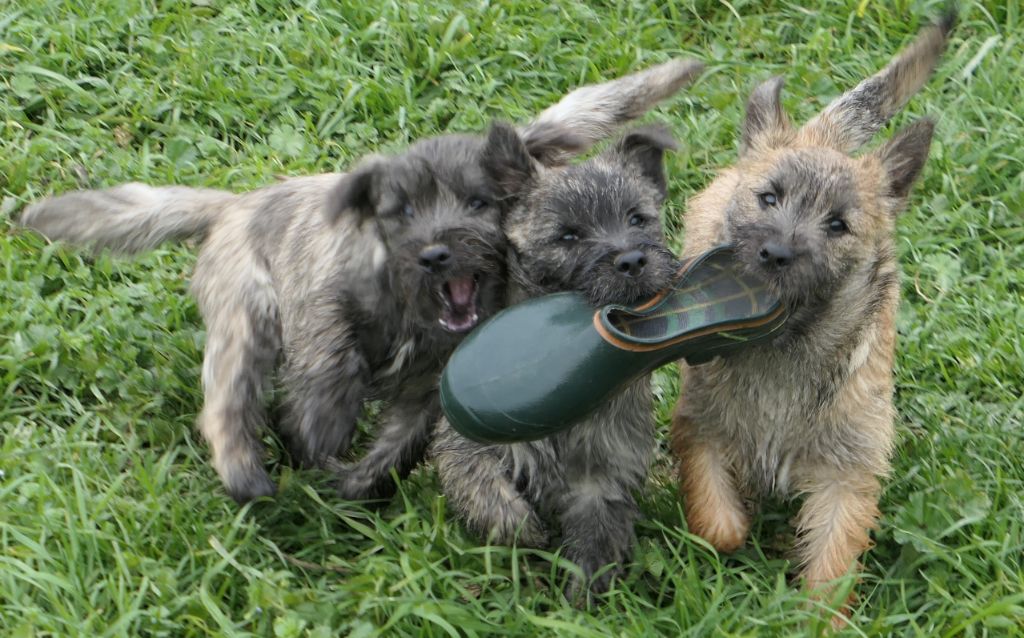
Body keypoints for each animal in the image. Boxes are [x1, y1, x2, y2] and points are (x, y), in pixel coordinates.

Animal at [19, 58, 703, 504]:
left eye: (479, 203)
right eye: (401, 211)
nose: (436, 255)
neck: (416, 316)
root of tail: (232, 205)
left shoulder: (432, 389)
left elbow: (397, 442)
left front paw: (354, 481)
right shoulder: (323, 300)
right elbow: (331, 359)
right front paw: (321, 431)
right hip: (245, 310)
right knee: (228, 396)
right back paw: (246, 473)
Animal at [431, 120, 685, 599]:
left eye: (637, 218)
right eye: (568, 236)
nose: (632, 259)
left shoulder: (601, 478)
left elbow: (596, 538)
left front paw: (580, 596)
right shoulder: (464, 440)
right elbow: (480, 485)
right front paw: (520, 527)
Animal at [668, 14, 953, 623]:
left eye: (838, 225)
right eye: (768, 198)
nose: (777, 253)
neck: (784, 352)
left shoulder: (848, 471)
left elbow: (834, 559)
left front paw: (818, 614)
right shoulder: (700, 429)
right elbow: (717, 522)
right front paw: (738, 527)